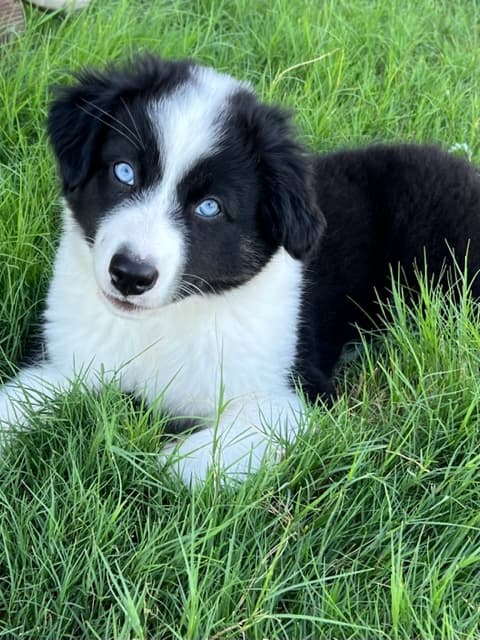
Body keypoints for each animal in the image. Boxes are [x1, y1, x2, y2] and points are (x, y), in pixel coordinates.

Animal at [0, 56, 480, 484]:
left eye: (210, 207)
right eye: (124, 171)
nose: (130, 275)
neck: (167, 321)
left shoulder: (291, 399)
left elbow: (176, 466)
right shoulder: (70, 361)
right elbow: (20, 399)